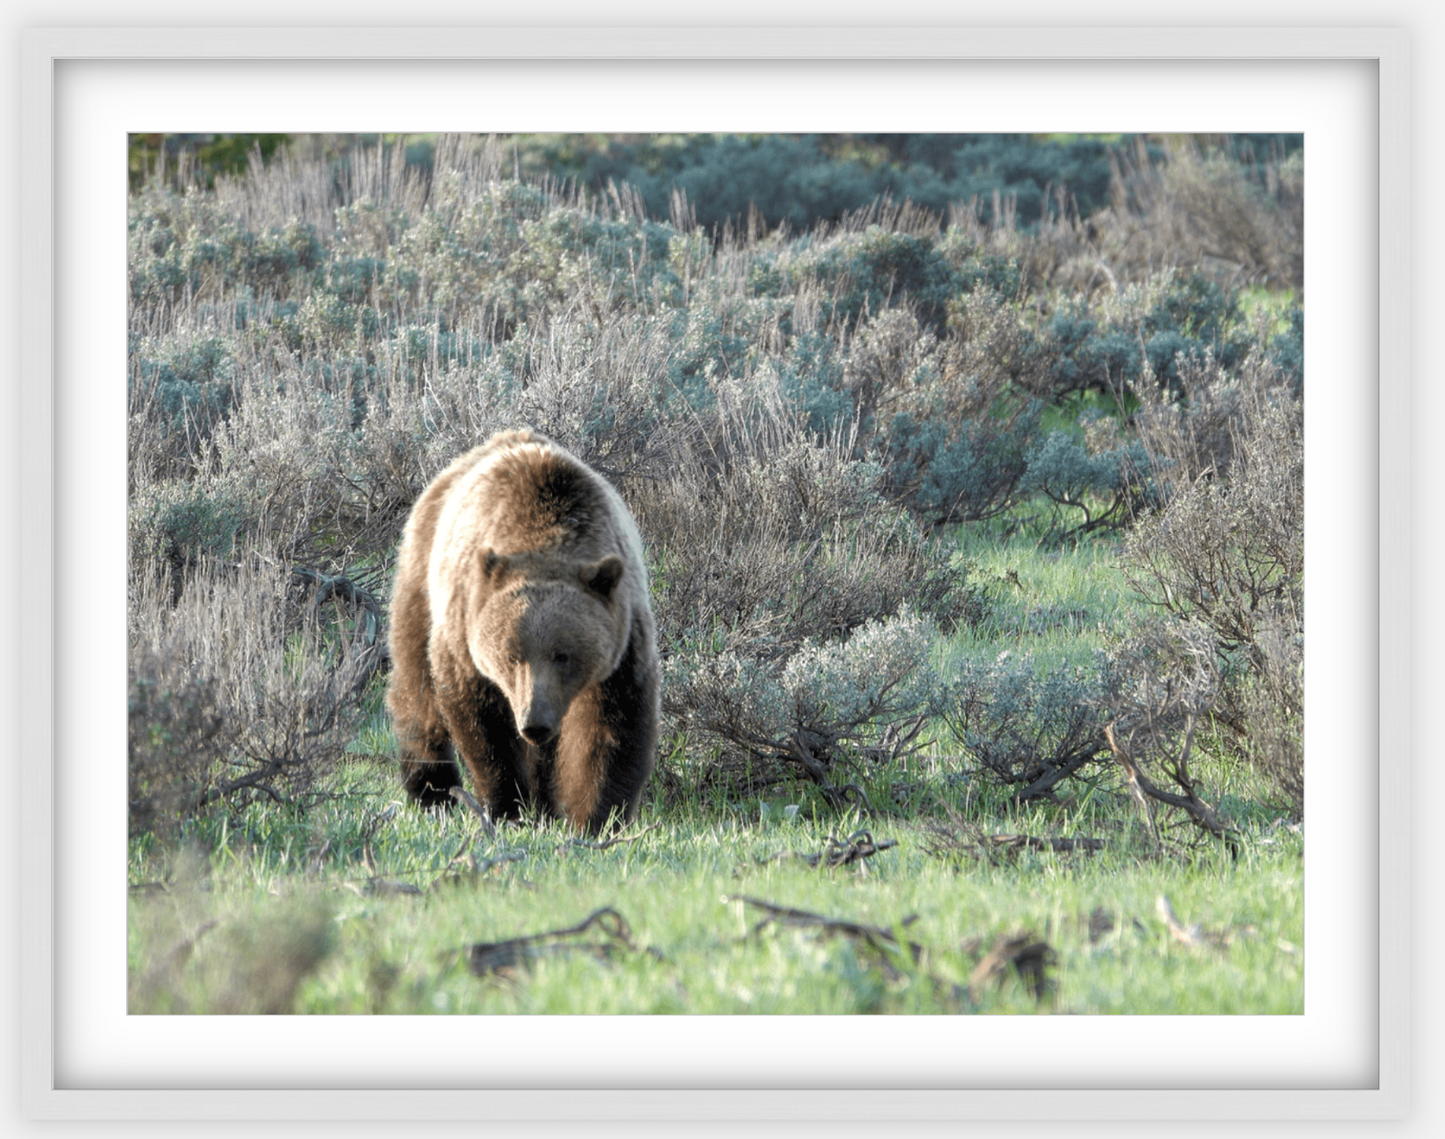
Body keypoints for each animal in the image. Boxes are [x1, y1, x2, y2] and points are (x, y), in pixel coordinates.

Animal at [384, 430, 656, 832]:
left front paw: (597, 817)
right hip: (421, 577)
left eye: (563, 655)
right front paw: (506, 807)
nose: (534, 723)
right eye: (511, 656)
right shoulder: (468, 630)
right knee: (416, 683)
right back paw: (432, 788)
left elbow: (611, 728)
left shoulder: (622, 643)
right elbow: (485, 726)